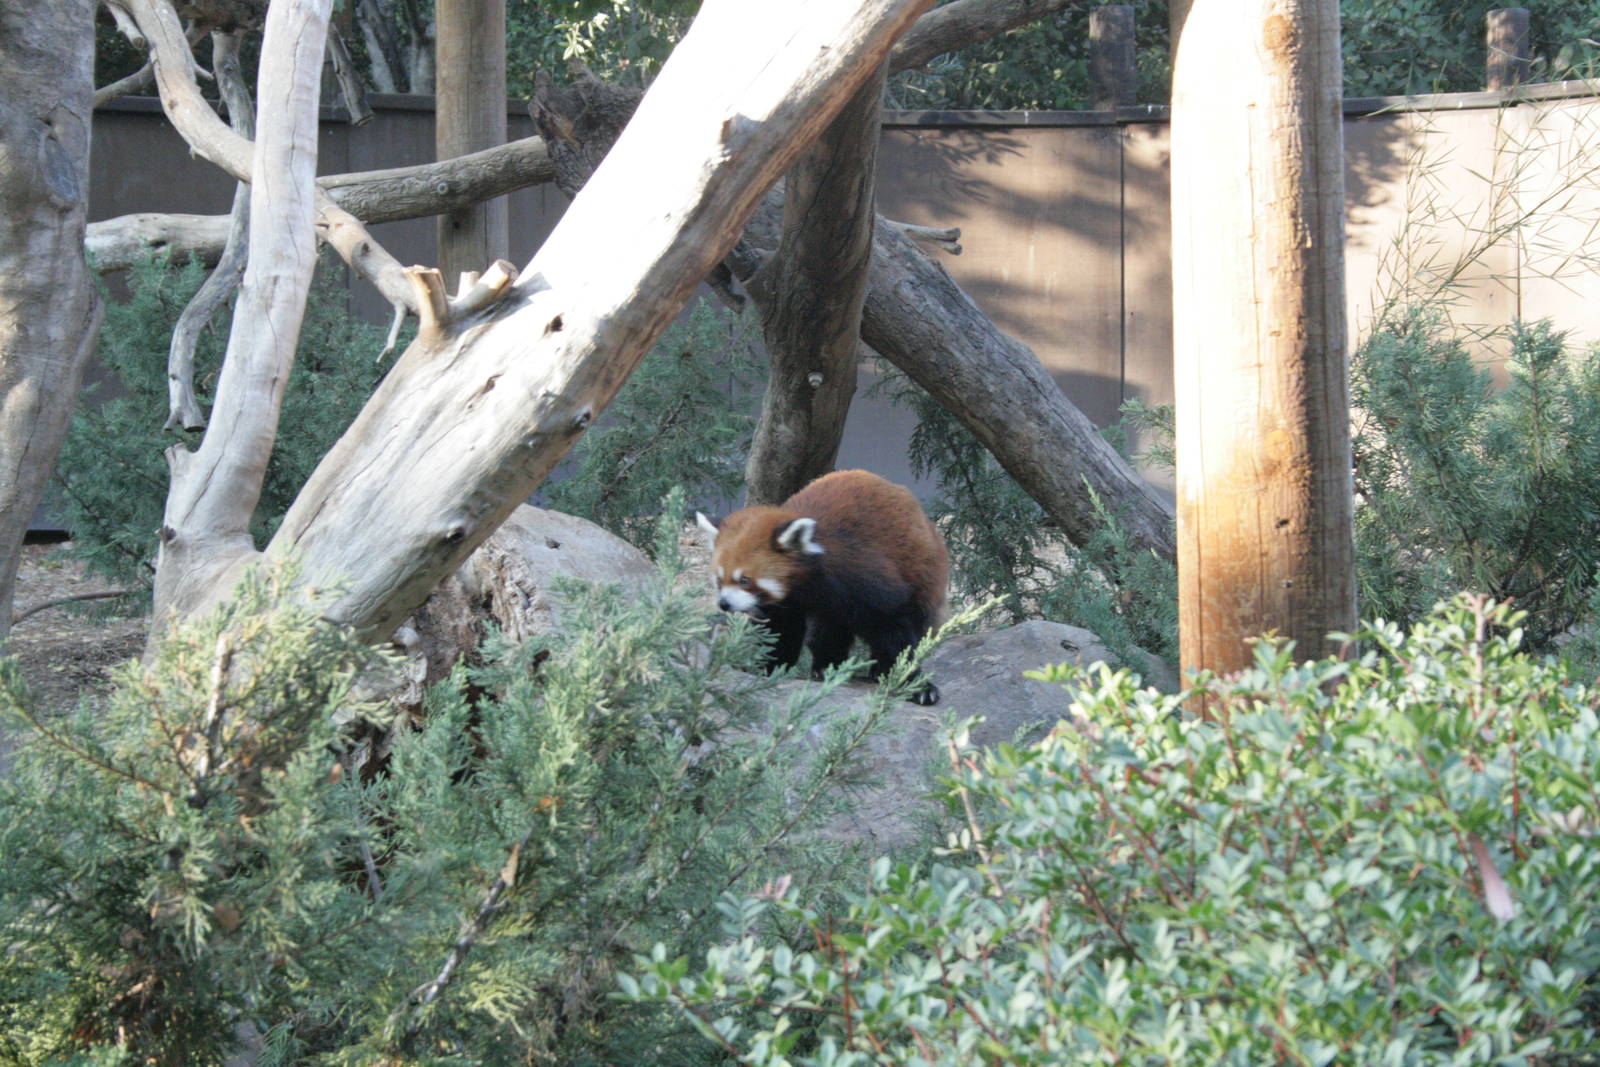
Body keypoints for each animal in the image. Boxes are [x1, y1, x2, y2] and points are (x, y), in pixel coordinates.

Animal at [696, 469, 949, 705]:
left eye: (744, 580)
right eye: (719, 580)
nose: (724, 604)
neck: (807, 584)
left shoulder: (866, 577)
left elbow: (894, 630)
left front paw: (915, 683)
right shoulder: (786, 603)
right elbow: (781, 629)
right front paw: (771, 667)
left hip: (925, 574)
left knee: (917, 620)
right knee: (829, 630)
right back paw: (827, 666)